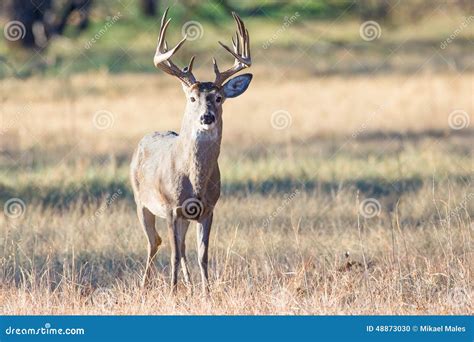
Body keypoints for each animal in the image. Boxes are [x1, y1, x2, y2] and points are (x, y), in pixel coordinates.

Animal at [130, 10, 252, 294]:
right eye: (192, 98)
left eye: (219, 98)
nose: (207, 117)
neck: (193, 179)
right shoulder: (171, 207)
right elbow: (174, 254)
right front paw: (172, 294)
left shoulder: (208, 208)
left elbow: (202, 254)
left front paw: (207, 293)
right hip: (141, 201)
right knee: (155, 242)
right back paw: (145, 286)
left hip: (184, 216)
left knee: (182, 245)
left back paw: (188, 285)